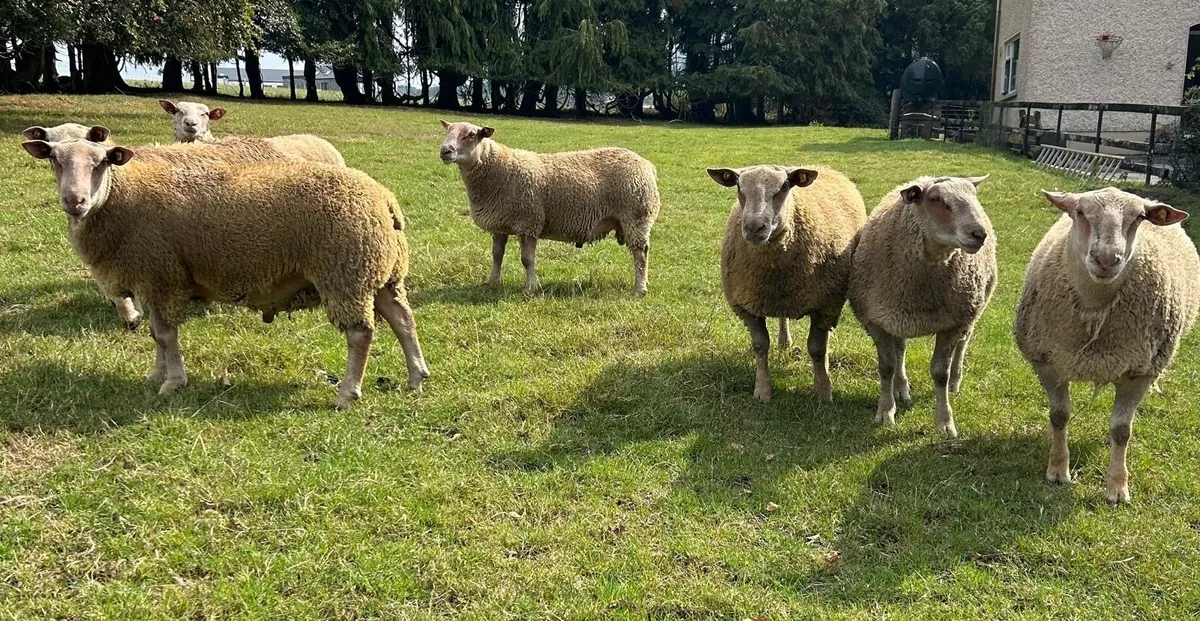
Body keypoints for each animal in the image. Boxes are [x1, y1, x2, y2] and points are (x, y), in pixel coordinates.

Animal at [21, 138, 428, 409]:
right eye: (54, 160)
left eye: (101, 162)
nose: (74, 201)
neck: (120, 199)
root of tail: (385, 199)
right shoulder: (150, 279)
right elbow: (155, 335)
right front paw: (156, 375)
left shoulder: (162, 276)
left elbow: (165, 336)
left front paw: (173, 382)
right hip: (382, 273)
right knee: (403, 320)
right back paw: (416, 377)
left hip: (345, 274)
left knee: (361, 335)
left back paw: (347, 393)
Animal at [439, 120, 660, 295]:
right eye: (448, 130)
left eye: (471, 134)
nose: (445, 150)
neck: (498, 168)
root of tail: (648, 165)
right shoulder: (500, 225)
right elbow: (497, 255)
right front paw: (492, 282)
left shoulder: (529, 222)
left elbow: (527, 259)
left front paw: (531, 288)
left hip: (637, 217)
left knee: (641, 254)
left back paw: (640, 289)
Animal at [709, 164, 867, 403]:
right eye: (738, 186)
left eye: (784, 186)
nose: (754, 227)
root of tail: (822, 166)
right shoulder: (747, 306)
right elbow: (760, 346)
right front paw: (762, 390)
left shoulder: (825, 305)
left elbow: (817, 349)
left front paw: (823, 391)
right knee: (783, 317)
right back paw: (784, 341)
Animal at [848, 176, 996, 439]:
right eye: (936, 199)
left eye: (974, 196)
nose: (980, 234)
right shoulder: (876, 321)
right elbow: (887, 366)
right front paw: (885, 411)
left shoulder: (952, 323)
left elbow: (940, 374)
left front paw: (945, 422)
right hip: (896, 316)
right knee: (900, 350)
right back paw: (901, 388)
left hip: (972, 310)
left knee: (963, 342)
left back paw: (955, 380)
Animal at [1014, 188, 1200, 504]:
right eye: (1080, 212)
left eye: (1139, 217)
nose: (1106, 259)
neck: (1095, 307)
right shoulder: (1048, 362)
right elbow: (1059, 416)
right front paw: (1057, 470)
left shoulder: (1139, 372)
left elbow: (1121, 429)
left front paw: (1117, 486)